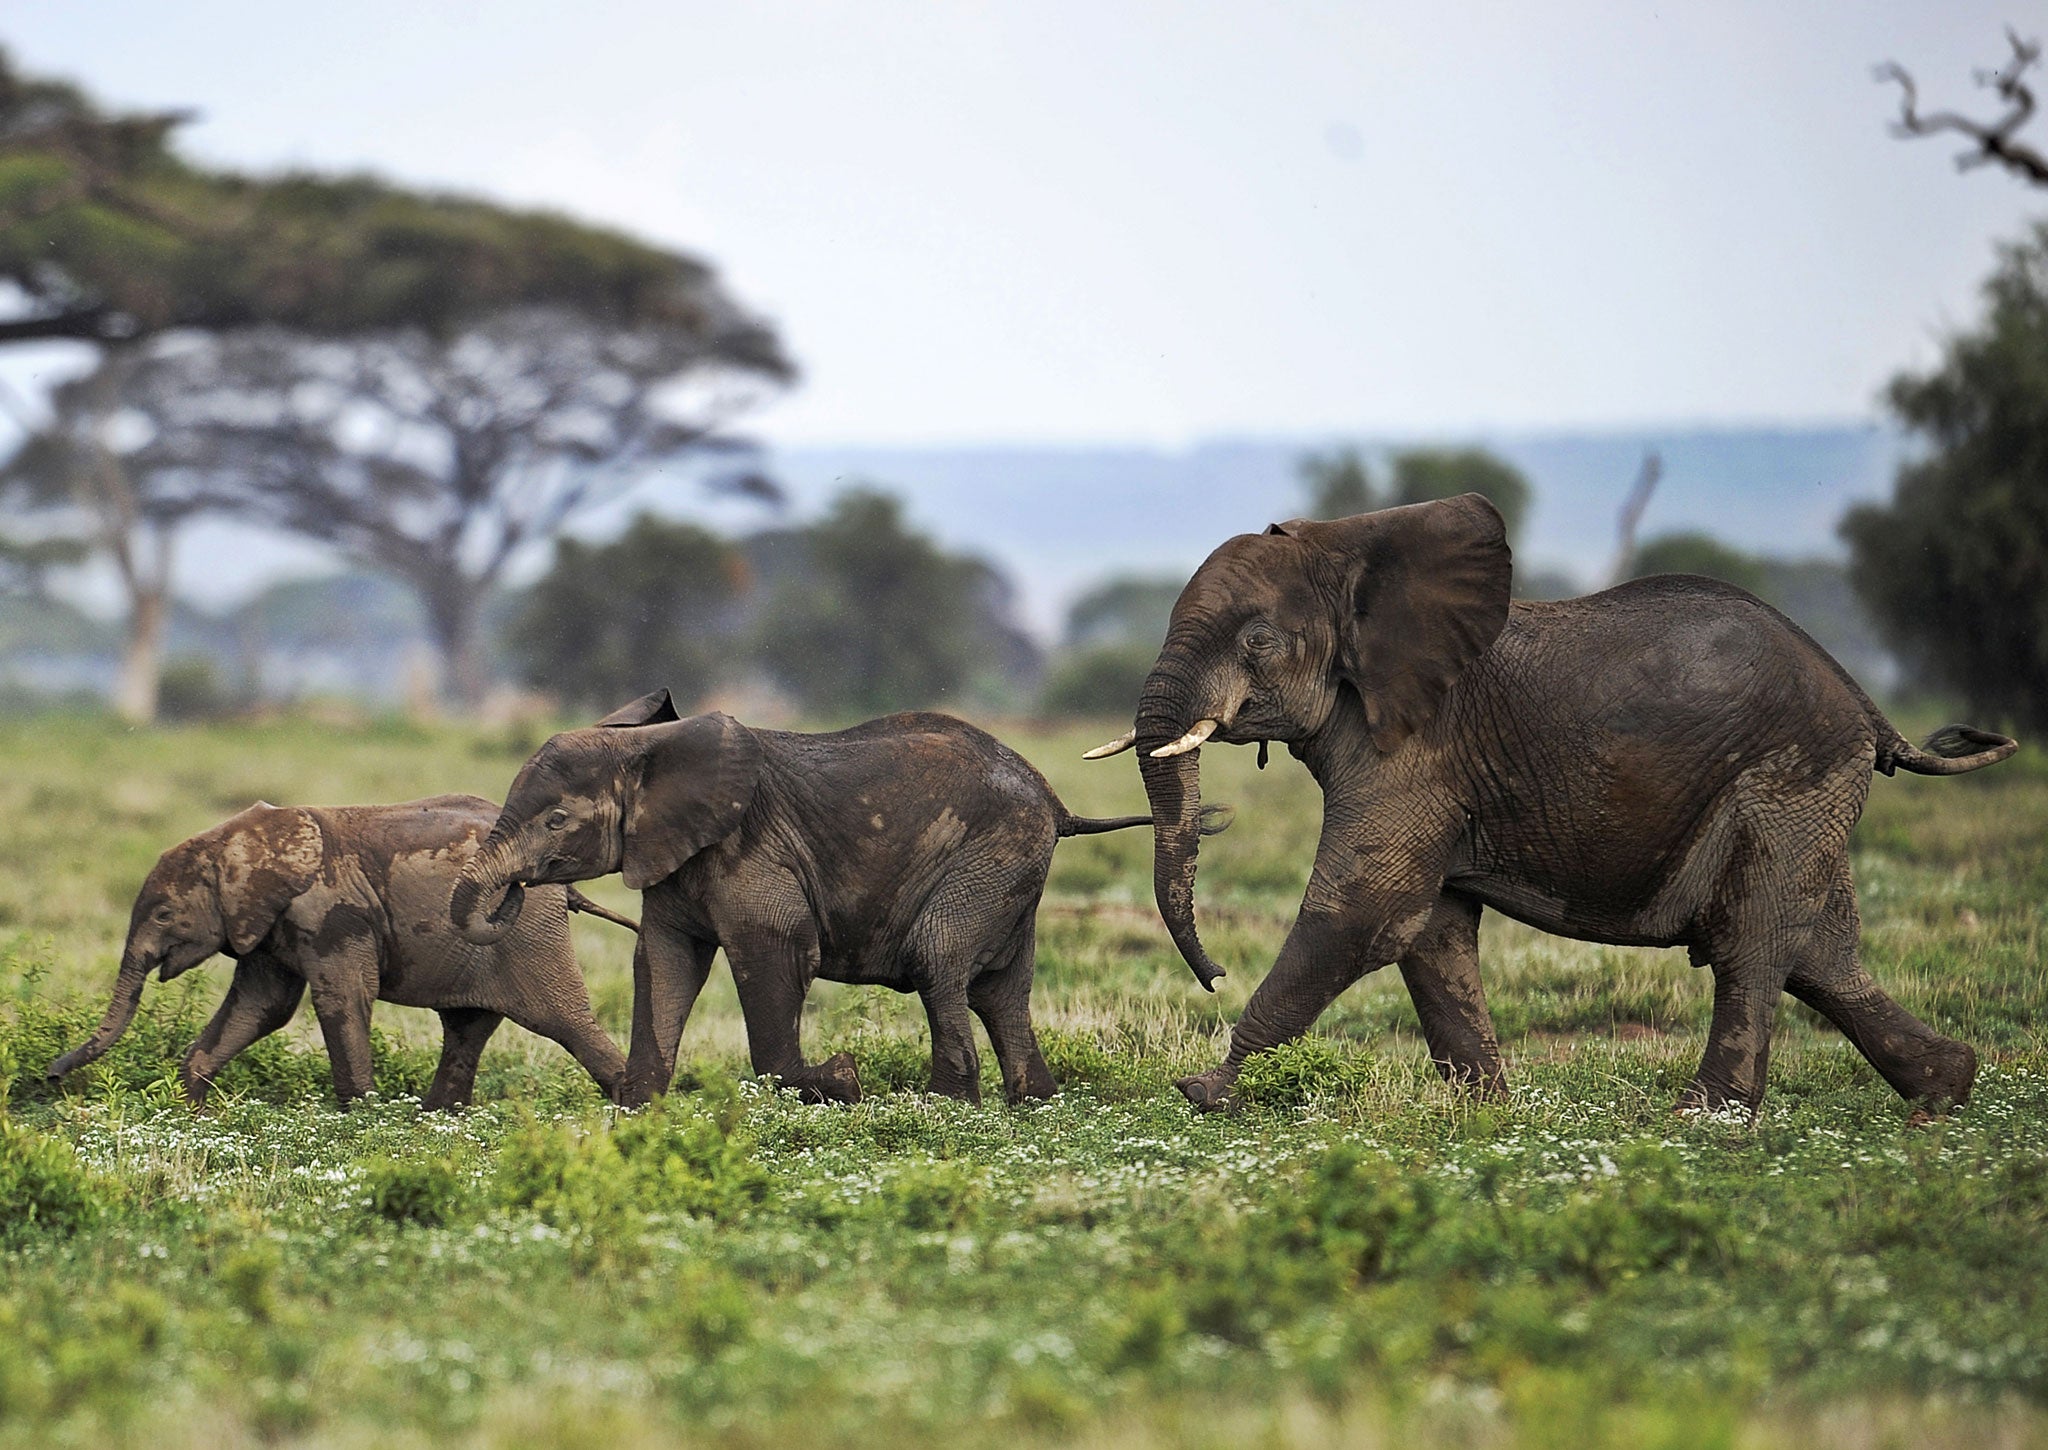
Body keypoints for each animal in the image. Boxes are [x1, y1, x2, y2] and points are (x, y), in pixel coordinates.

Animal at [56, 798, 630, 1105]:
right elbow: (259, 1008)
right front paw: (186, 1110)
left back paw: (634, 1111)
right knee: (466, 1029)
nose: (51, 1075)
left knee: (564, 1021)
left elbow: (342, 1000)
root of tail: (562, 884)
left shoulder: (331, 913)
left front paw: (361, 1121)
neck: (236, 839)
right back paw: (436, 1121)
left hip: (527, 934)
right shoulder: (268, 922)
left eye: (162, 915)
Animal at [452, 692, 1187, 1114]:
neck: (649, 751)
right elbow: (663, 964)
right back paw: (1031, 1105)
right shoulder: (672, 857)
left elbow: (773, 955)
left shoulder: (751, 852)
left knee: (938, 962)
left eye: (556, 821)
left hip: (988, 860)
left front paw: (842, 1081)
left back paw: (944, 1108)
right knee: (1001, 991)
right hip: (1010, 872)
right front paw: (638, 1114)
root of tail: (1057, 802)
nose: (512, 896)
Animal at [1089, 493, 2015, 1114]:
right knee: (1819, 950)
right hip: (1808, 789)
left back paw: (1706, 1122)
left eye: (1259, 641)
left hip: (1787, 776)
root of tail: (1863, 702)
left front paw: (1204, 1091)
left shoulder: (1415, 753)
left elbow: (1363, 911)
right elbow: (1429, 929)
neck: (1352, 550)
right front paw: (1485, 1116)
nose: (1213, 976)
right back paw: (1945, 1091)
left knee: (1754, 939)